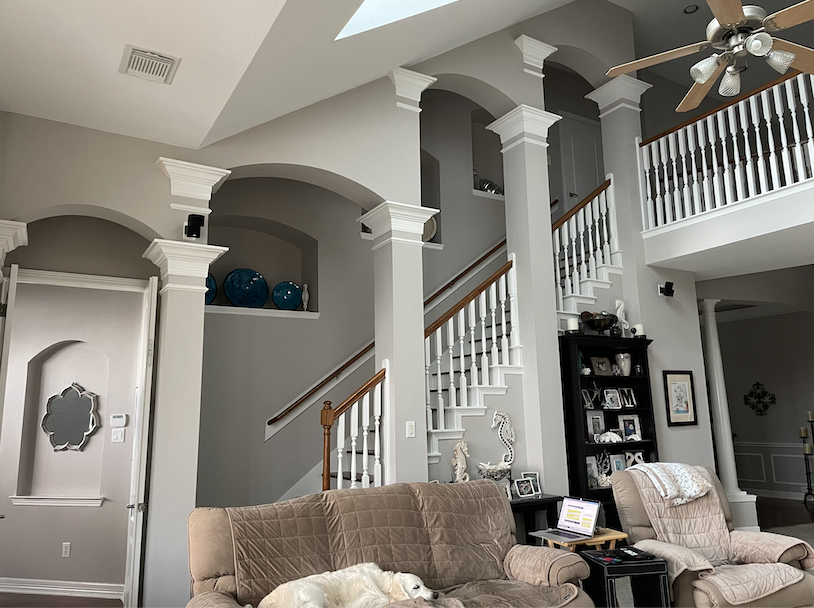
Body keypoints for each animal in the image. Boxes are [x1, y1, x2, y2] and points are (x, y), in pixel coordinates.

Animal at [257, 562, 438, 608]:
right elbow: (385, 600)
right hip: (313, 594)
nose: (436, 594)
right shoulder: (366, 599)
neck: (381, 583)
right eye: (416, 587)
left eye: (424, 584)